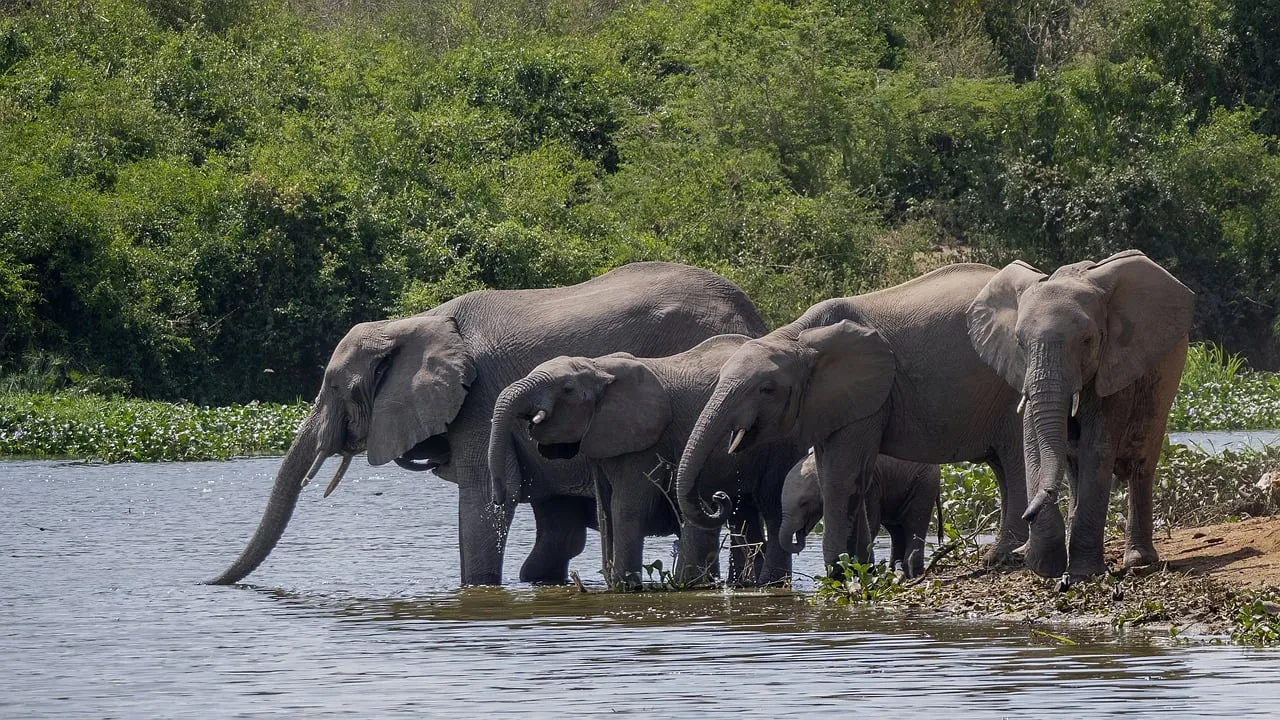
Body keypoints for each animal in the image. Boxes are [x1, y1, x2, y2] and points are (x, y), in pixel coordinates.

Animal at [208, 262, 766, 587]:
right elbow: (553, 533)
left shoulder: (477, 407)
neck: (416, 322)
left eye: (336, 388)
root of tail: (753, 315)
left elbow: (481, 508)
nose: (209, 583)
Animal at [488, 334, 805, 589]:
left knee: (772, 504)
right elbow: (605, 509)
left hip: (783, 440)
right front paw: (614, 582)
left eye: (567, 388)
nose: (500, 496)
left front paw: (625, 587)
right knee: (745, 514)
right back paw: (744, 582)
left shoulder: (646, 439)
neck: (599, 366)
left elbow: (626, 506)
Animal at [778, 452, 941, 577]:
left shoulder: (870, 484)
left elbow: (872, 522)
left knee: (914, 522)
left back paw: (911, 570)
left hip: (925, 482)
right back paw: (894, 568)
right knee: (896, 530)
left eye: (804, 503)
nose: (800, 533)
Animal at [967, 249, 1194, 584]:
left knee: (1141, 463)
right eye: (1019, 341)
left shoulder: (1114, 365)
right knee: (1075, 469)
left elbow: (1096, 448)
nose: (1028, 513)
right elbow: (1033, 445)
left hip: (1166, 379)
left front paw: (1083, 574)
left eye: (1087, 340)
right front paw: (1044, 565)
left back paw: (1139, 561)